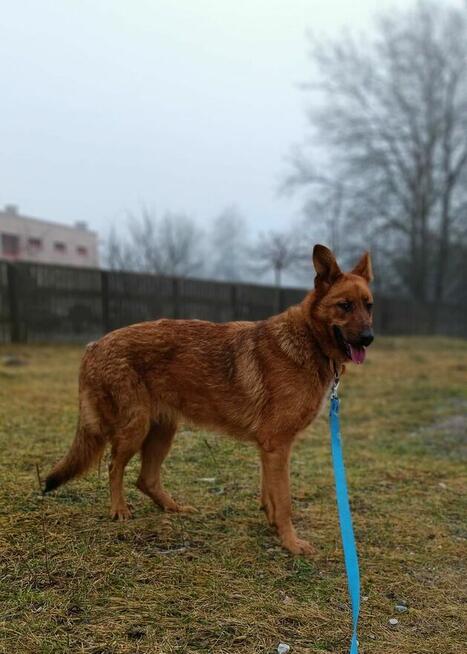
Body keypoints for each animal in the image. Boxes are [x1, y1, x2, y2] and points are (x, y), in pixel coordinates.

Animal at [44, 243, 372, 556]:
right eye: (344, 306)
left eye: (369, 306)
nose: (369, 338)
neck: (310, 339)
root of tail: (94, 346)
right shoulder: (277, 447)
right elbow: (284, 501)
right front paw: (291, 543)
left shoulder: (269, 449)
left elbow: (269, 494)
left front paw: (273, 526)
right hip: (134, 430)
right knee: (115, 467)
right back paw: (119, 509)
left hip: (163, 431)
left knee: (145, 479)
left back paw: (172, 507)